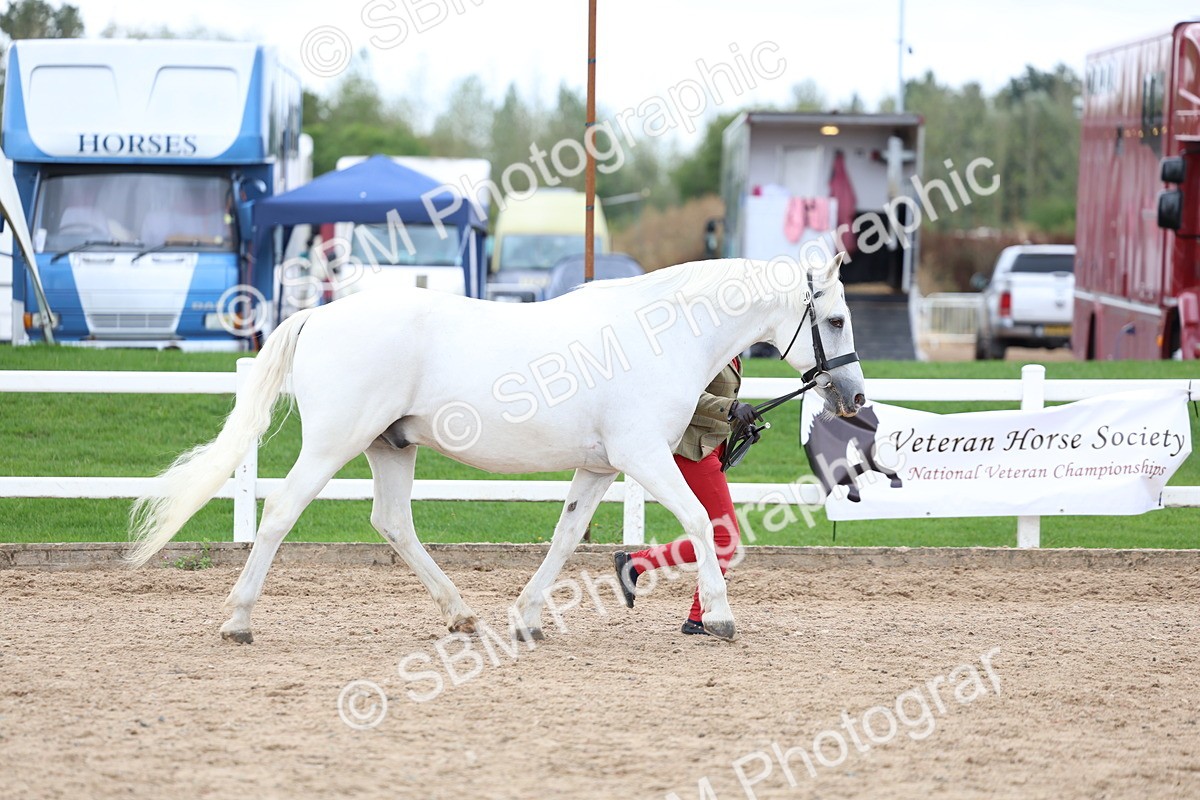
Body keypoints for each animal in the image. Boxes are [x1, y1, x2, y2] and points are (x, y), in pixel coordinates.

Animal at [126, 255, 866, 643]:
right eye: (833, 318)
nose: (854, 397)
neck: (660, 338)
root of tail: (316, 314)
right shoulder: (643, 459)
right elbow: (698, 522)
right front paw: (719, 615)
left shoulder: (599, 467)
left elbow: (566, 538)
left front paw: (528, 619)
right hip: (336, 442)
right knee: (281, 514)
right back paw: (239, 621)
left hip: (391, 447)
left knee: (392, 522)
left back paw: (460, 614)